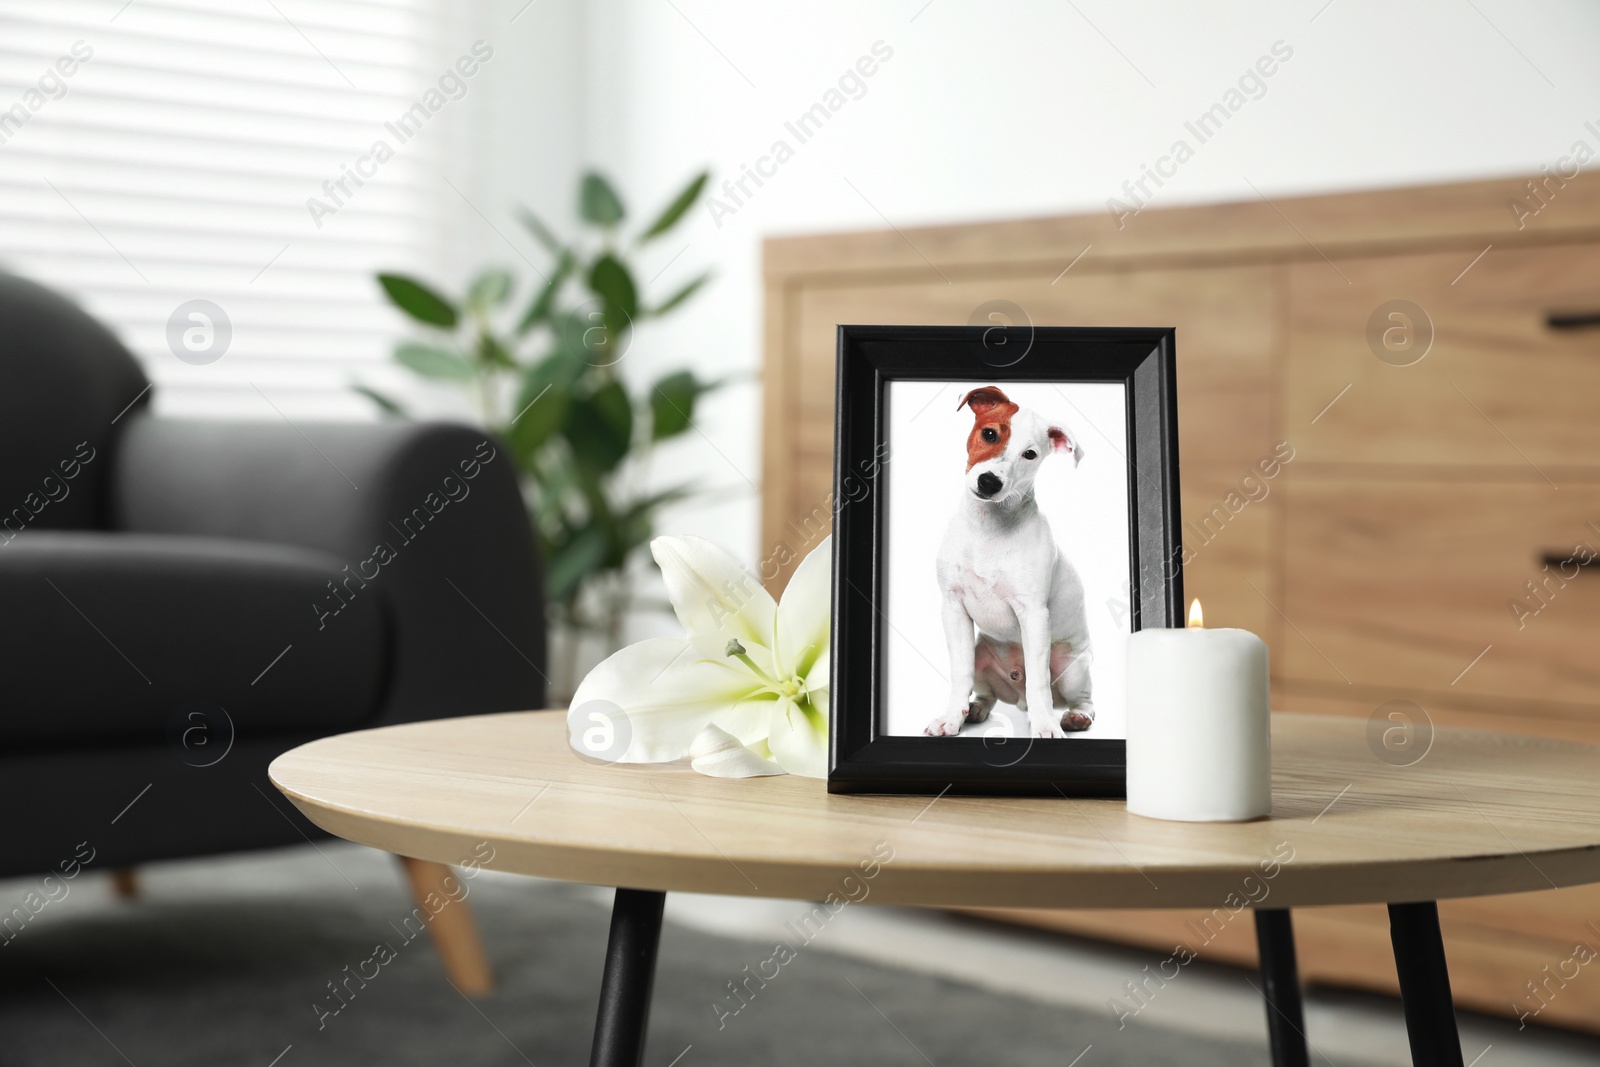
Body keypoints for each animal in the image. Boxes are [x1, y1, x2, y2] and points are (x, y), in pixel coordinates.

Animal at [928, 385, 1100, 742]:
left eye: (1030, 454)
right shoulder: (953, 608)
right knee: (987, 693)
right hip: (982, 654)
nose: (989, 482)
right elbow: (960, 674)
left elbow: (1038, 682)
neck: (987, 528)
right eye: (989, 433)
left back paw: (1074, 717)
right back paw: (975, 710)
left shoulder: (1033, 615)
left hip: (1072, 667)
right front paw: (951, 718)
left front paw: (1046, 726)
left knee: (1081, 698)